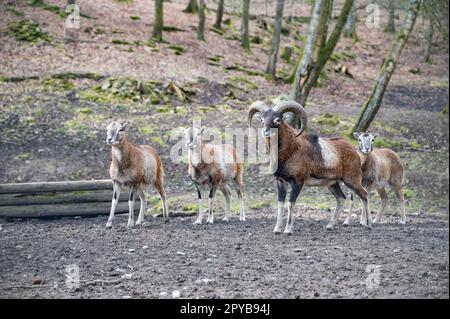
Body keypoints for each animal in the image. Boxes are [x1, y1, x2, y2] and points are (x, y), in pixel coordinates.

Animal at [248, 101, 370, 234]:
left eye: (277, 120)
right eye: (262, 119)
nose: (266, 131)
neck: (290, 151)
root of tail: (355, 151)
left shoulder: (297, 182)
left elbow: (290, 204)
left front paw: (288, 230)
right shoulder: (280, 182)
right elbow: (280, 205)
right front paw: (276, 230)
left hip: (352, 181)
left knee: (364, 195)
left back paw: (367, 225)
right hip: (333, 184)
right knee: (341, 198)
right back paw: (330, 226)